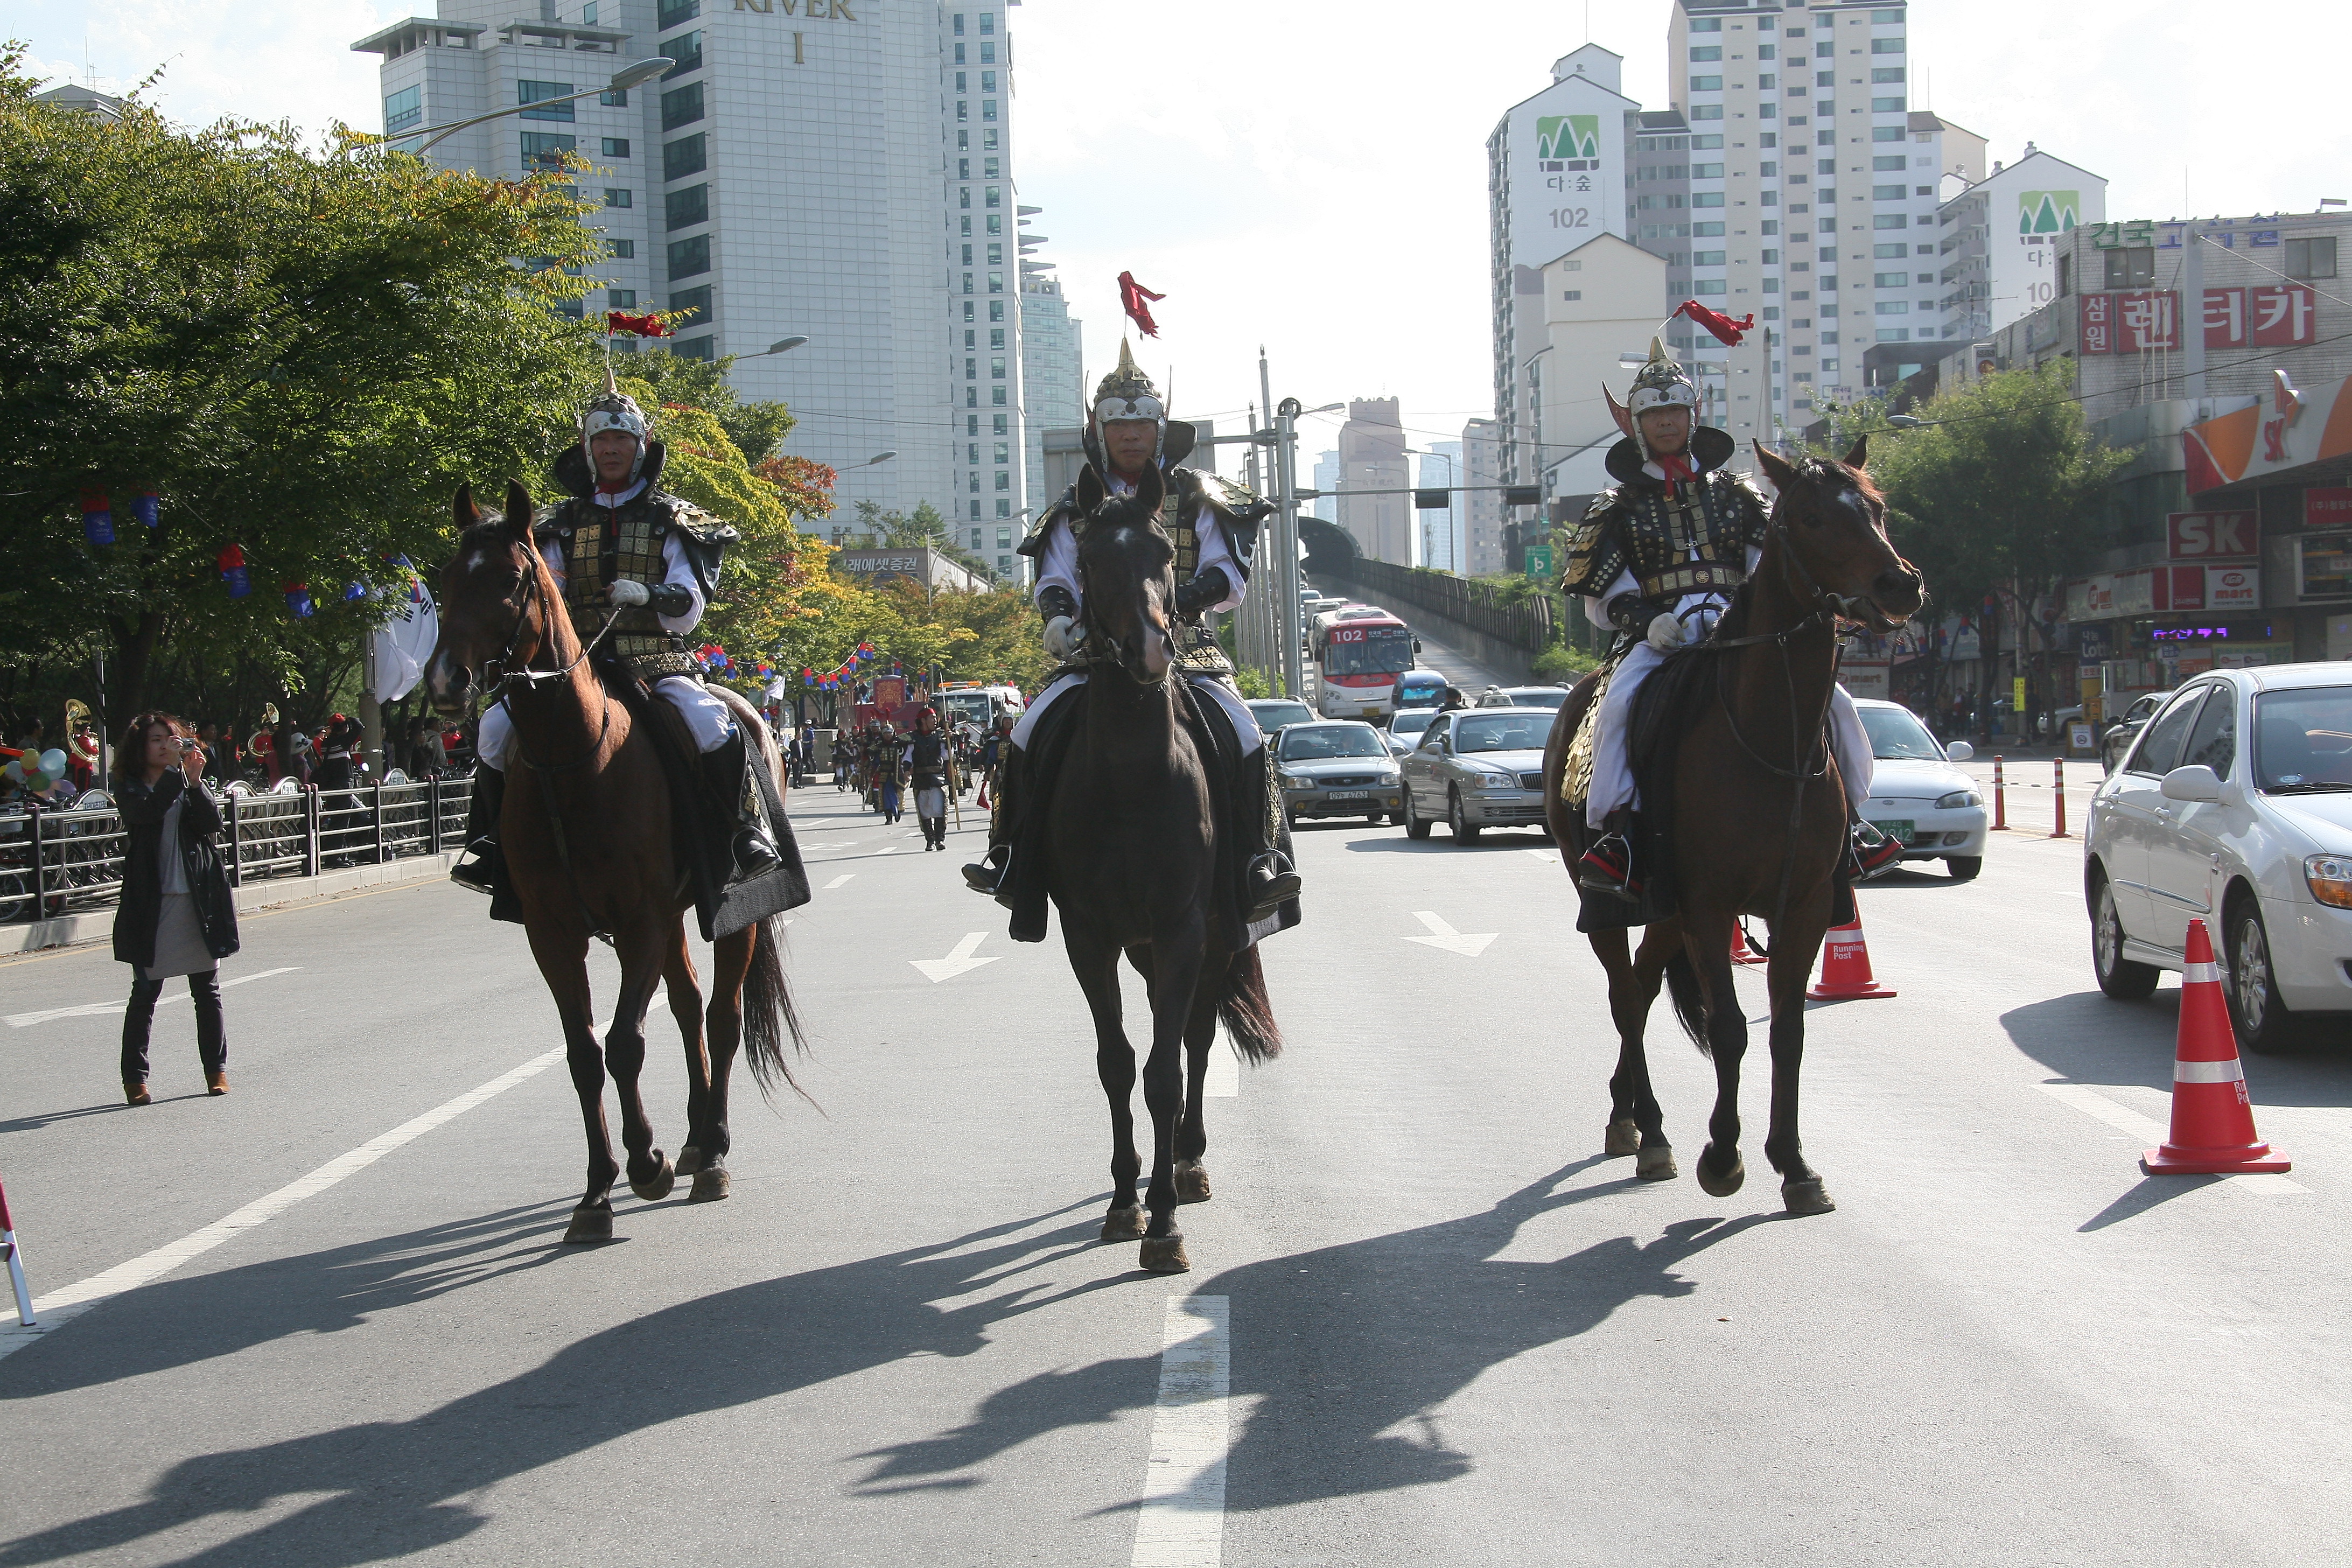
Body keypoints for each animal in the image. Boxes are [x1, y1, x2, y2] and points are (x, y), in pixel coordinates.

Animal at [435, 484, 809, 1241]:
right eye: (446, 579)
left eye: (511, 580)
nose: (445, 682)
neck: (572, 759)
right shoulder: (552, 931)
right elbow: (583, 1052)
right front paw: (598, 1190)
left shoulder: (638, 920)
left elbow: (624, 1042)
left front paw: (645, 1163)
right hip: (669, 919)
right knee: (689, 1007)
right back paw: (693, 1140)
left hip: (728, 913)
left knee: (721, 1017)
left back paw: (712, 1150)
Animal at [1053, 465, 1289, 1279]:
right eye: (1090, 558)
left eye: (1163, 552)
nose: (1153, 649)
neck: (1131, 773)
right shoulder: (1088, 935)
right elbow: (1118, 1064)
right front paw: (1126, 1201)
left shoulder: (1186, 927)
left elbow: (1163, 1069)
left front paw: (1162, 1221)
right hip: (1146, 947)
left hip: (1211, 940)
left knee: (1195, 1040)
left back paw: (1188, 1161)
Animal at [1552, 442, 1919, 1213]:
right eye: (1810, 517)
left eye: (1876, 507)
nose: (1900, 585)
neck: (1770, 734)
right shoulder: (1709, 903)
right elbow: (1727, 1029)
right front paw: (1723, 1155)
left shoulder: (1804, 904)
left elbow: (1788, 1029)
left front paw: (1795, 1162)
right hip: (1606, 898)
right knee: (1625, 995)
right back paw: (1652, 1131)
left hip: (1664, 910)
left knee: (1643, 986)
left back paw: (1629, 1113)